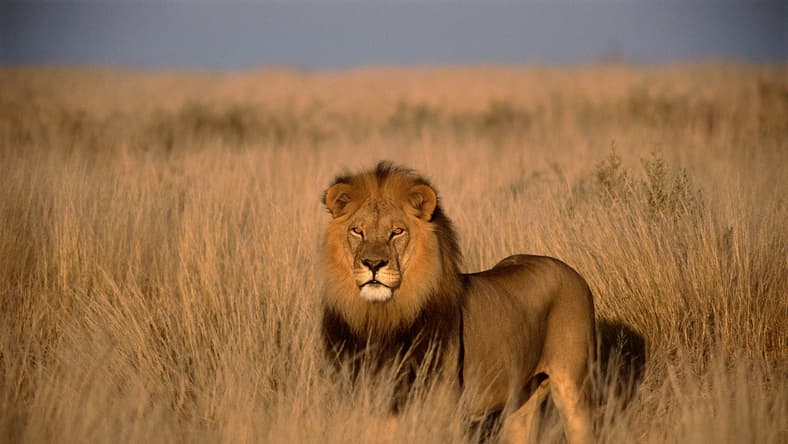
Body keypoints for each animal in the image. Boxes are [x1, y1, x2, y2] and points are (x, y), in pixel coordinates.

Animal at [321, 162, 595, 444]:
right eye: (358, 231)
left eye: (397, 232)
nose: (373, 264)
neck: (382, 319)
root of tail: (569, 270)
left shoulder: (440, 412)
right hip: (521, 402)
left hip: (574, 388)